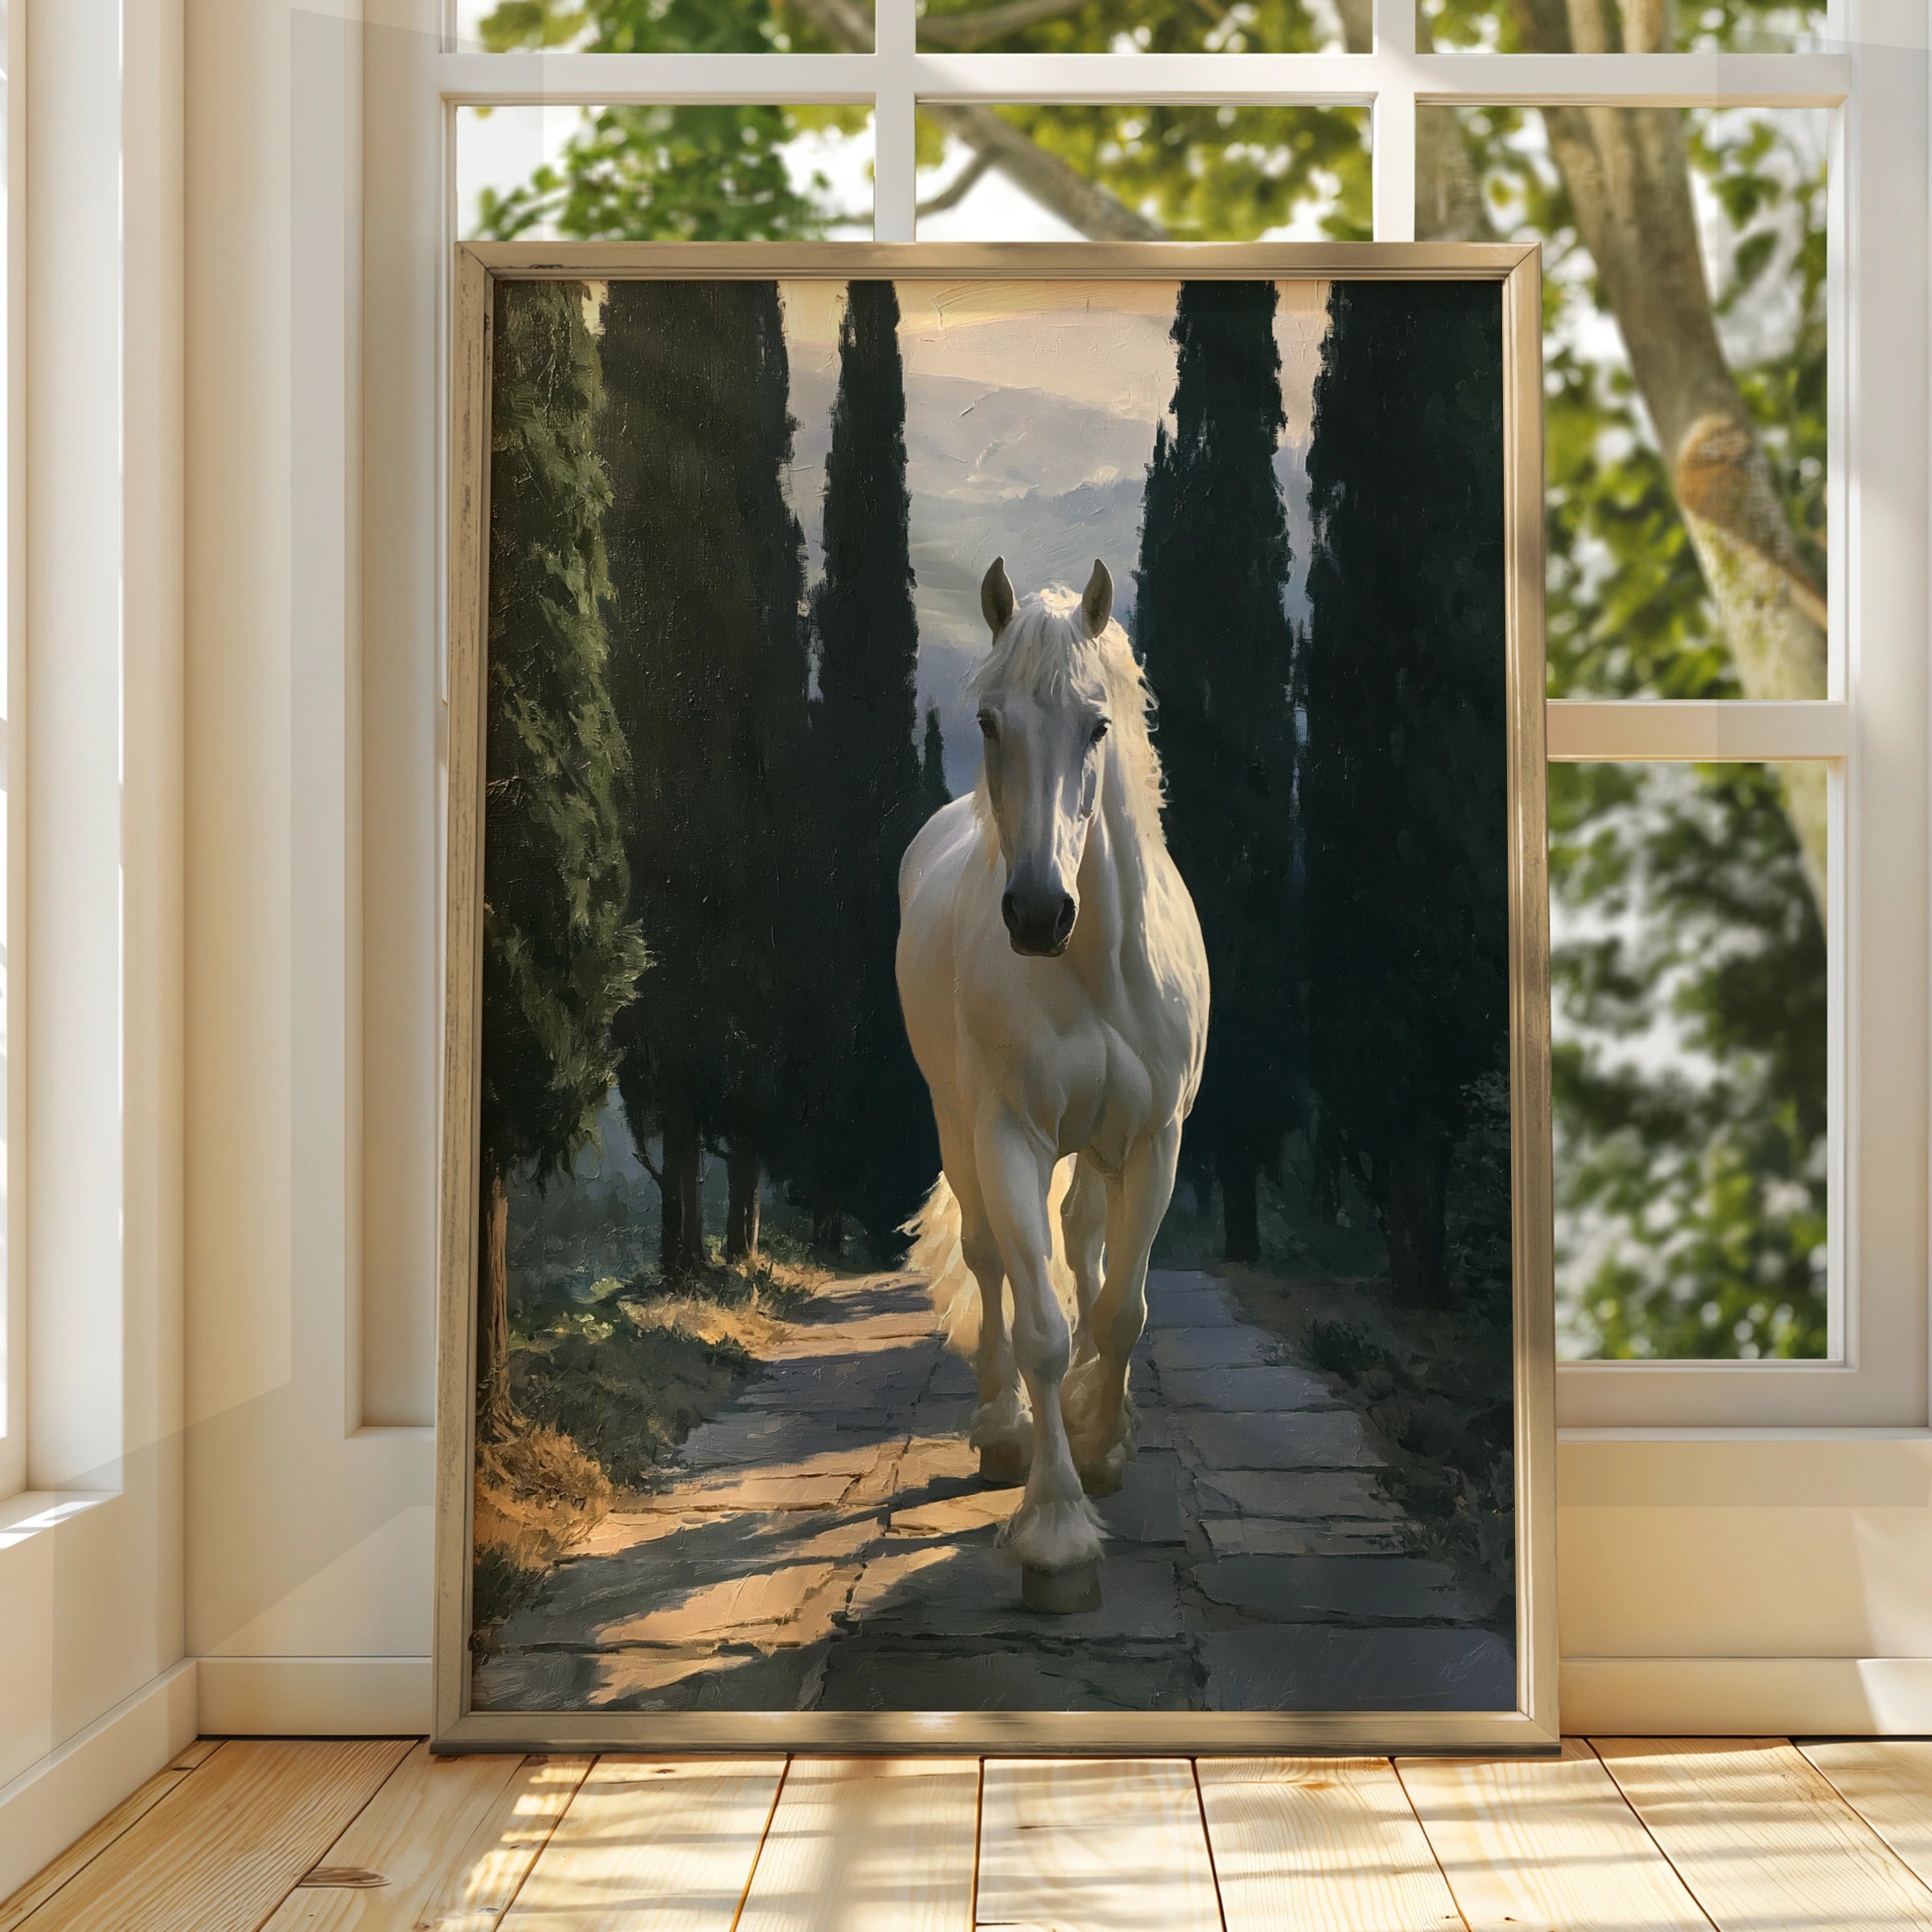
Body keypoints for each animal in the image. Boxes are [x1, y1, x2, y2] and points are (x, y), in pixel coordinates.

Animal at [896, 557, 1210, 1613]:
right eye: (991, 723)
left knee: (1085, 1255)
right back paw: (1003, 1432)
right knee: (994, 1263)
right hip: (959, 1127)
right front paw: (1057, 1533)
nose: (1038, 913)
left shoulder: (1152, 1140)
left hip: (1101, 1152)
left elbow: (1120, 1308)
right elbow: (1041, 1323)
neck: (1096, 970)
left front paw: (1104, 1448)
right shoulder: (1011, 1139)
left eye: (1098, 725)